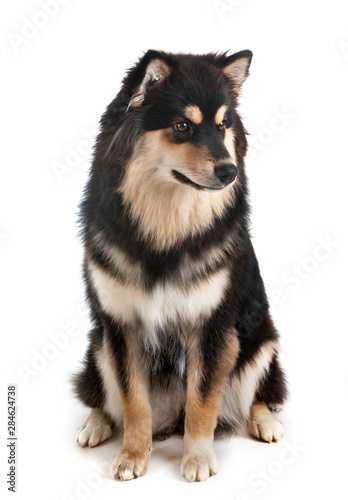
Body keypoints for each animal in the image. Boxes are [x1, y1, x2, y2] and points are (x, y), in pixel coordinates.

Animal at [72, 49, 286, 480]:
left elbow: (202, 401)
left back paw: (264, 421)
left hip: (261, 340)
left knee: (258, 393)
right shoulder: (121, 326)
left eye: (223, 125)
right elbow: (134, 401)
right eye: (182, 126)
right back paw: (96, 424)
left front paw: (198, 458)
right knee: (104, 398)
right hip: (98, 344)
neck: (165, 230)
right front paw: (132, 456)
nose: (229, 171)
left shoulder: (212, 326)